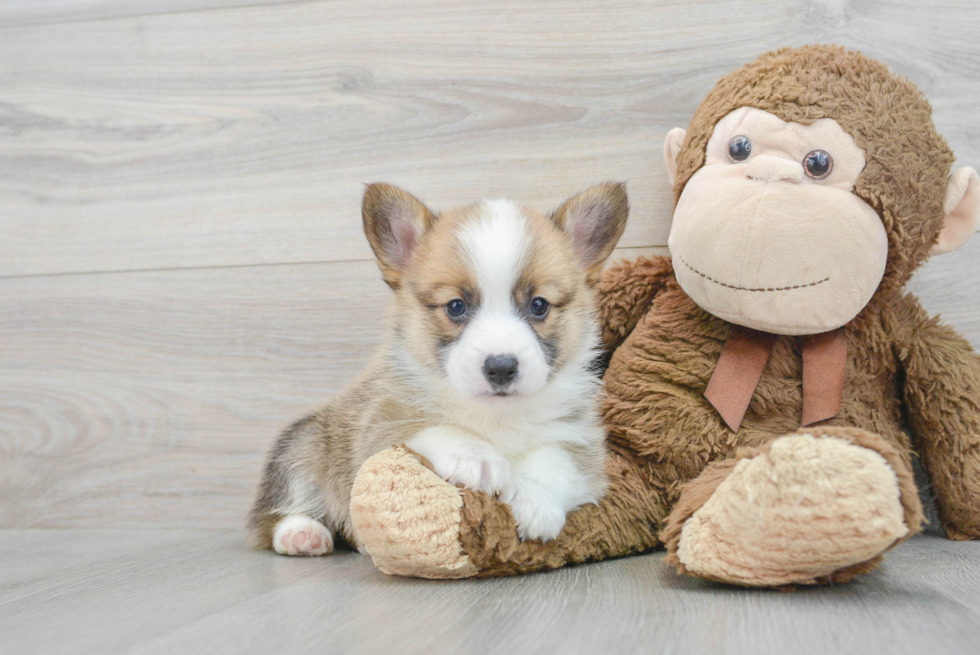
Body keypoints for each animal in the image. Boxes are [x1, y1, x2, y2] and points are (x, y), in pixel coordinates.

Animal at [251, 182, 628, 556]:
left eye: (539, 306)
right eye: (456, 306)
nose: (501, 367)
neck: (497, 415)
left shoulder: (582, 442)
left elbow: (555, 459)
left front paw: (534, 502)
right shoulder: (383, 426)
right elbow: (434, 427)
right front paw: (477, 458)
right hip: (303, 446)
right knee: (277, 512)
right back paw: (301, 534)